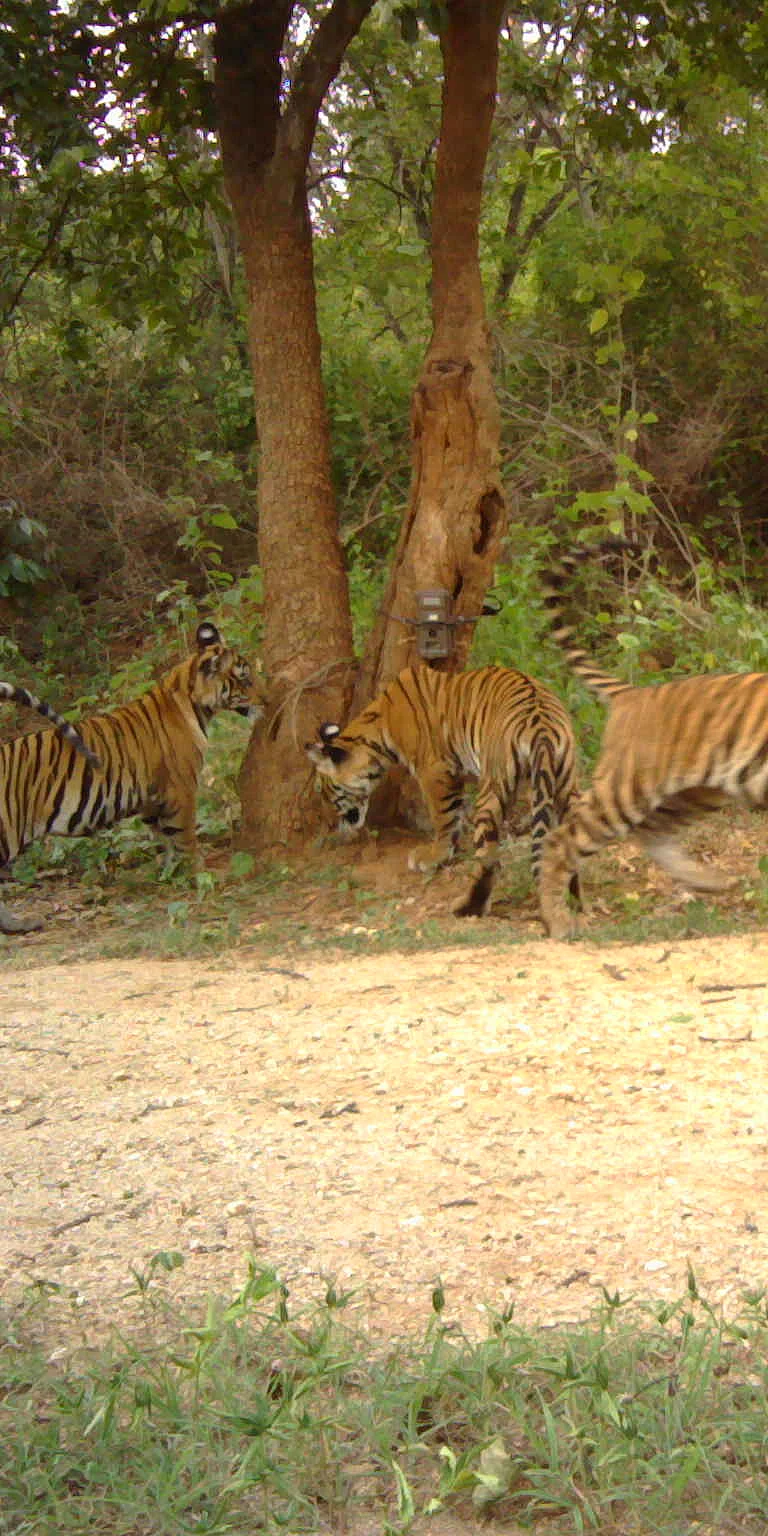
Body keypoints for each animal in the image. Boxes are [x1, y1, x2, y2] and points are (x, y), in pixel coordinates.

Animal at [0, 621, 263, 935]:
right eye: (245, 679)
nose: (267, 699)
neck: (189, 698)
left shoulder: (152, 799)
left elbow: (165, 839)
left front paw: (170, 874)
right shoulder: (181, 791)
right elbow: (186, 839)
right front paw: (201, 877)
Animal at [305, 663, 580, 918]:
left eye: (325, 792)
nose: (329, 825)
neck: (379, 728)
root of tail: (541, 724)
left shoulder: (434, 771)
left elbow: (443, 817)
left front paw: (433, 856)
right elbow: (456, 814)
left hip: (493, 788)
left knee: (489, 858)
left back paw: (468, 907)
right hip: (566, 785)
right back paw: (572, 899)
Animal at [538, 537, 756, 938]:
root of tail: (632, 693)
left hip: (696, 790)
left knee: (652, 833)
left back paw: (708, 881)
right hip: (630, 787)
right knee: (562, 838)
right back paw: (558, 922)